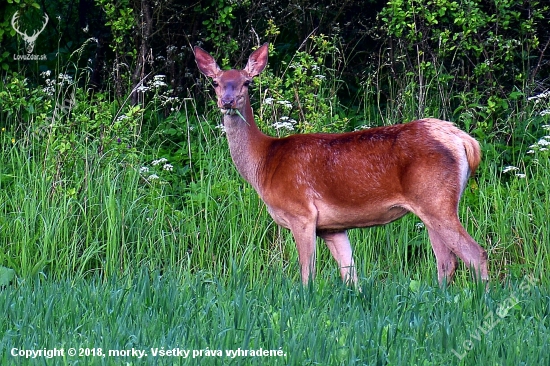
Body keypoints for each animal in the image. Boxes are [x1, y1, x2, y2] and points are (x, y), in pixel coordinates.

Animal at [196, 43, 490, 286]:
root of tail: (464, 140)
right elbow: (350, 275)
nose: (227, 101)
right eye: (215, 83)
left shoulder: (301, 213)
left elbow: (307, 275)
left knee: (475, 253)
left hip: (435, 198)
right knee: (447, 261)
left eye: (247, 82)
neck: (264, 162)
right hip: (432, 205)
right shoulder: (332, 228)